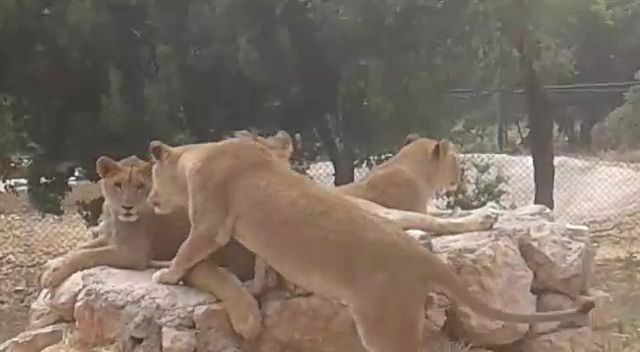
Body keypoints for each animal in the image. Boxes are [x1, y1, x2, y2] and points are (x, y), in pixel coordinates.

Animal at [38, 155, 264, 340]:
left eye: (140, 186)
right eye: (118, 185)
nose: (127, 207)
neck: (115, 215)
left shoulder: (132, 254)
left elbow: (86, 255)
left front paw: (53, 274)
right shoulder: (109, 238)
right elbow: (79, 249)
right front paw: (53, 267)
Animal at [145, 138, 596, 352]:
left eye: (150, 177)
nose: (148, 200)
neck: (196, 157)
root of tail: (417, 257)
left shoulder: (209, 224)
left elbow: (188, 250)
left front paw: (166, 274)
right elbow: (260, 265)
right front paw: (258, 287)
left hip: (384, 326)